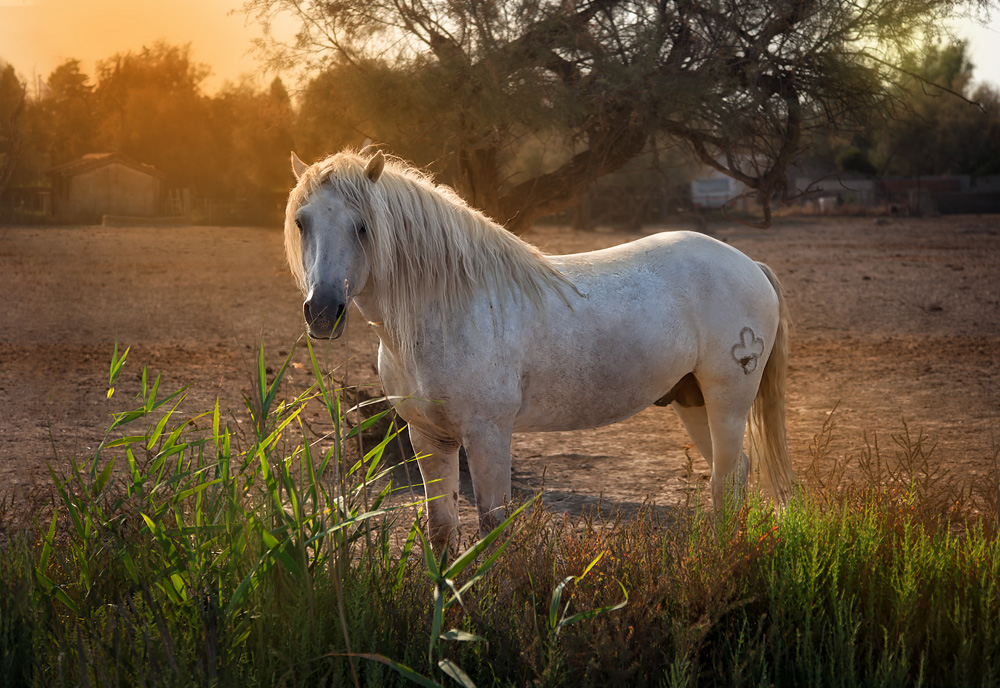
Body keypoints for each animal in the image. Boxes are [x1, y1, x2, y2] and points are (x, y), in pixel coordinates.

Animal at [284, 148, 796, 552]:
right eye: (301, 222)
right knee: (734, 475)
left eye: (362, 226)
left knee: (726, 480)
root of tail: (749, 264)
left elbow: (492, 528)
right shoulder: (429, 436)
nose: (323, 312)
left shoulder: (488, 435)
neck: (449, 308)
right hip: (691, 400)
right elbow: (442, 531)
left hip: (728, 401)